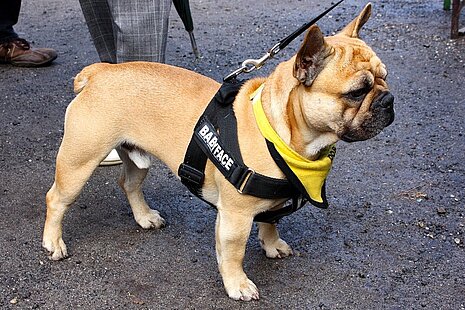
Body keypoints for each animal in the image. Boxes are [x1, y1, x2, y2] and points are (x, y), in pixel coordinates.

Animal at [42, 3, 392, 300]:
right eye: (357, 92)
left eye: (385, 78)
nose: (388, 100)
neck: (279, 132)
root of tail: (100, 72)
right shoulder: (235, 216)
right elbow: (234, 252)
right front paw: (237, 284)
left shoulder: (269, 202)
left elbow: (271, 221)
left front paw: (272, 245)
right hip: (79, 161)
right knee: (56, 199)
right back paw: (53, 242)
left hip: (137, 157)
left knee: (129, 184)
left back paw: (144, 217)